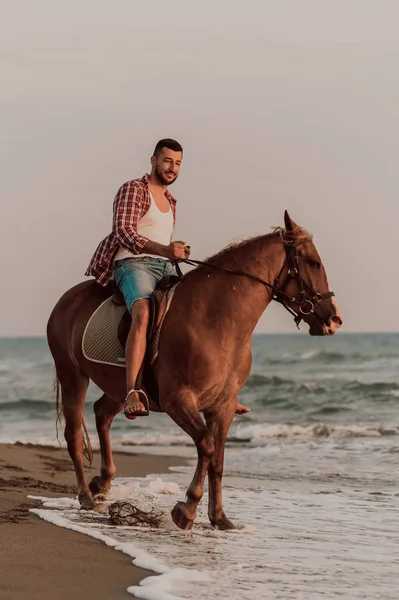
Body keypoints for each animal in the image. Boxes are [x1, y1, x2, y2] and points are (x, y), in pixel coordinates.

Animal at [46, 212, 340, 528]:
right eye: (314, 263)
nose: (334, 319)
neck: (215, 320)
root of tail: (65, 301)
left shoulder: (223, 406)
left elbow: (218, 459)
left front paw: (219, 517)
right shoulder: (179, 401)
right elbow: (207, 445)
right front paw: (187, 509)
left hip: (117, 387)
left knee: (102, 413)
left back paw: (103, 482)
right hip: (72, 376)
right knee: (74, 435)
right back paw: (86, 496)